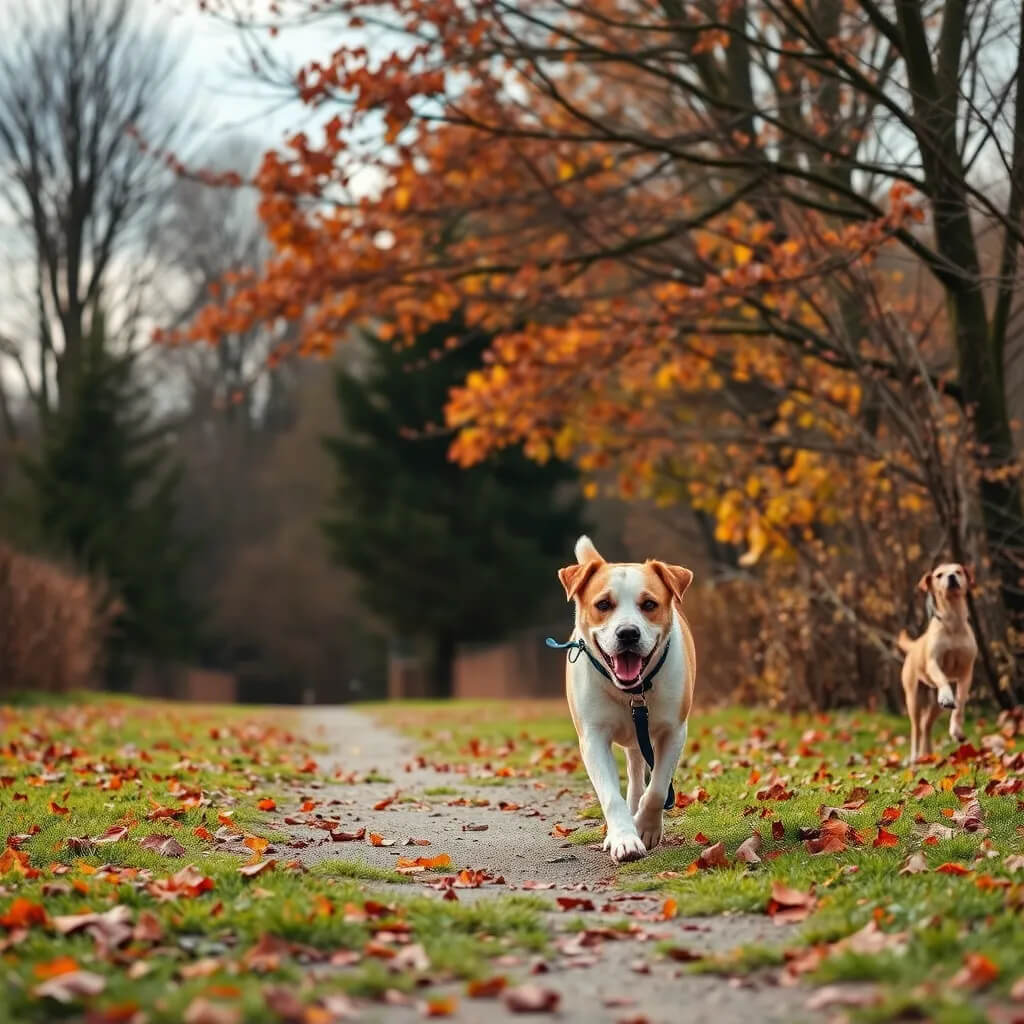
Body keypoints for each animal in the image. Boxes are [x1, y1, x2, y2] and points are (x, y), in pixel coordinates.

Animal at [561, 536, 696, 864]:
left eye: (648, 604)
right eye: (603, 605)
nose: (628, 633)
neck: (632, 692)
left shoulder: (674, 731)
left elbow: (658, 788)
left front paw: (646, 827)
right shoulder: (593, 737)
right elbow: (611, 795)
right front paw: (624, 838)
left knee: (638, 776)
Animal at [897, 565, 974, 765]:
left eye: (958, 570)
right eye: (939, 575)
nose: (952, 576)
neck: (953, 623)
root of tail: (915, 645)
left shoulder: (966, 671)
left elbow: (960, 703)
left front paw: (956, 731)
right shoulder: (933, 663)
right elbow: (942, 678)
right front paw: (946, 695)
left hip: (934, 706)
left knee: (926, 725)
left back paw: (929, 755)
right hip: (913, 698)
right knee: (916, 728)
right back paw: (915, 757)